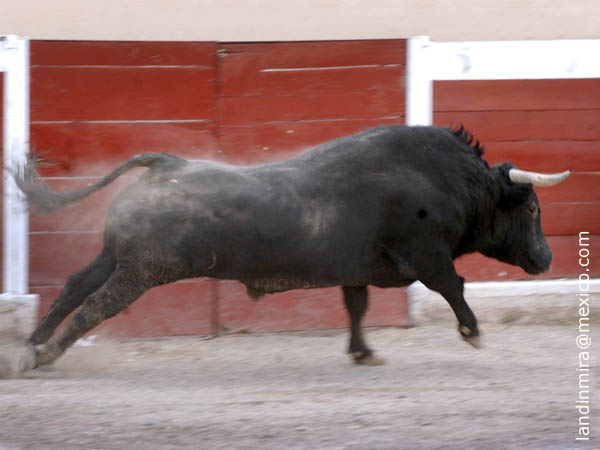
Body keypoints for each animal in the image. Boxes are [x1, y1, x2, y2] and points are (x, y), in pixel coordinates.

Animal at [12, 125, 568, 370]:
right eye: (532, 209)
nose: (546, 258)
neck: (451, 180)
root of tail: (166, 163)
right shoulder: (428, 255)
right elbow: (454, 285)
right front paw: (473, 333)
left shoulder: (356, 269)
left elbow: (357, 306)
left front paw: (363, 352)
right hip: (142, 270)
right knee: (95, 305)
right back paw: (41, 356)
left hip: (116, 257)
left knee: (73, 287)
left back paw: (31, 343)